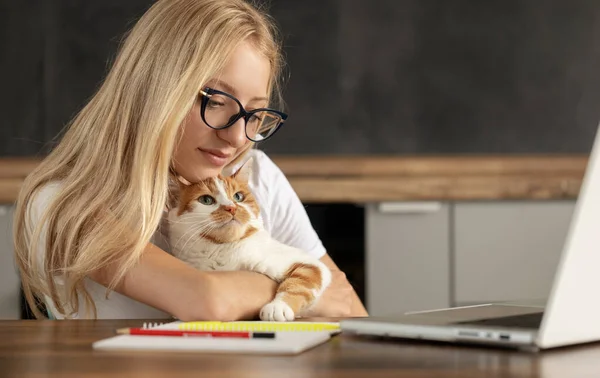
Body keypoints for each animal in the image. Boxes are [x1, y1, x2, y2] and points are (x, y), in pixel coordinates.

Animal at [166, 158, 330, 320]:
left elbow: (297, 285)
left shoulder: (310, 264)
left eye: (238, 197)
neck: (221, 248)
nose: (231, 208)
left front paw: (278, 307)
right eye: (206, 200)